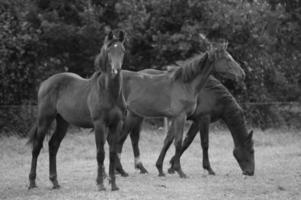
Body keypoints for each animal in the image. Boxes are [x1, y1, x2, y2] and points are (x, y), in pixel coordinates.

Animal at [27, 30, 125, 191]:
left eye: (122, 51)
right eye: (109, 51)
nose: (116, 70)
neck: (108, 93)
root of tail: (44, 83)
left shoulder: (116, 124)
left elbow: (112, 153)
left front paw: (114, 185)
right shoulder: (99, 125)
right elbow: (100, 153)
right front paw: (100, 184)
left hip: (62, 122)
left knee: (53, 146)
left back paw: (55, 182)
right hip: (44, 120)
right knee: (36, 147)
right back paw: (32, 182)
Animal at [116, 39, 245, 178]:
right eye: (227, 59)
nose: (242, 74)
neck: (184, 85)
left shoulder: (176, 118)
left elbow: (169, 141)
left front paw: (161, 169)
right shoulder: (182, 117)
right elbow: (179, 142)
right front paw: (179, 171)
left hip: (134, 115)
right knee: (119, 139)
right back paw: (121, 170)